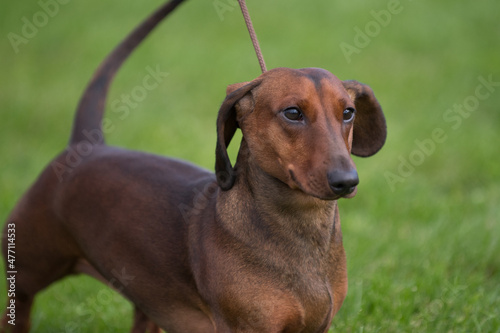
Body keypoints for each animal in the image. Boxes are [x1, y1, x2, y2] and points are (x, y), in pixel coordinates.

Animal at [0, 0, 386, 332]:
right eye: (292, 112)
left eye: (348, 112)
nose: (347, 181)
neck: (301, 232)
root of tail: (86, 144)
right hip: (26, 277)